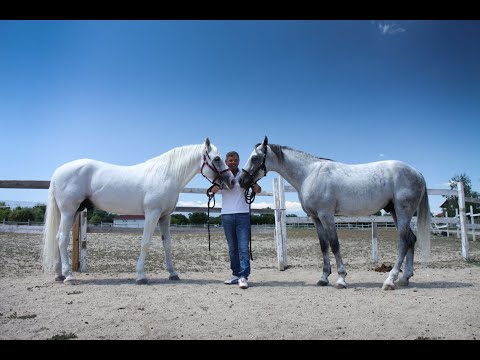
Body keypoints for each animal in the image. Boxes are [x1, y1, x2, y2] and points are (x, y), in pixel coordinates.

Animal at [42, 138, 234, 284]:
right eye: (217, 158)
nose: (231, 181)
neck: (166, 174)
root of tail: (58, 172)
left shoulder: (165, 217)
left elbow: (167, 244)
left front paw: (173, 273)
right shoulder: (152, 214)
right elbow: (145, 243)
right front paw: (141, 276)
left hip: (74, 211)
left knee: (58, 237)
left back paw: (59, 274)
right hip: (69, 211)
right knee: (62, 238)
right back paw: (68, 275)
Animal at [240, 136, 432, 292]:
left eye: (254, 157)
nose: (241, 181)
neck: (309, 174)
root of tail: (417, 172)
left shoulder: (327, 216)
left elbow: (334, 245)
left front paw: (341, 279)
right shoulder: (316, 219)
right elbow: (324, 246)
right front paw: (324, 278)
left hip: (403, 212)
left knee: (403, 242)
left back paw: (390, 281)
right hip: (394, 212)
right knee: (411, 239)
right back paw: (404, 278)